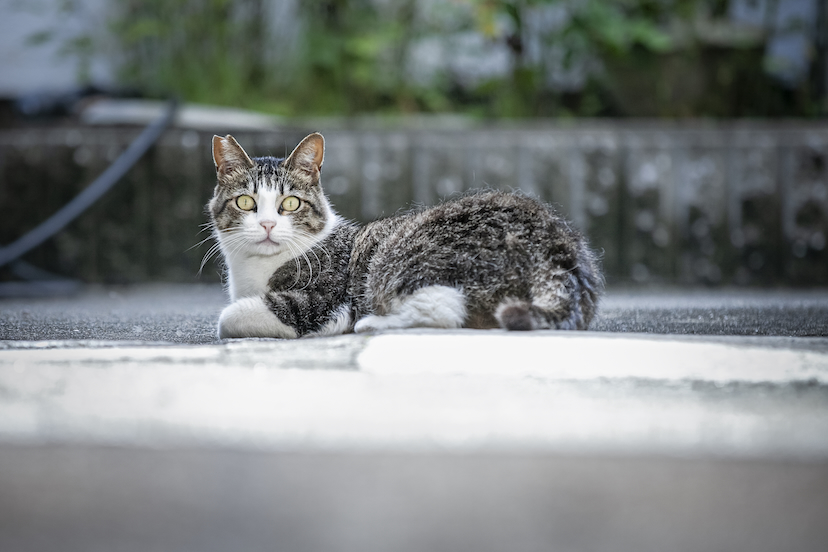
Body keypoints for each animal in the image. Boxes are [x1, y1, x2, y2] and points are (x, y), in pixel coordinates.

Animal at [207, 134, 600, 340]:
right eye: (245, 202)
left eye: (290, 203)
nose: (267, 225)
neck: (254, 269)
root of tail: (558, 245)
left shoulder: (314, 304)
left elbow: (228, 317)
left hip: (401, 258)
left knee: (446, 308)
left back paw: (371, 323)